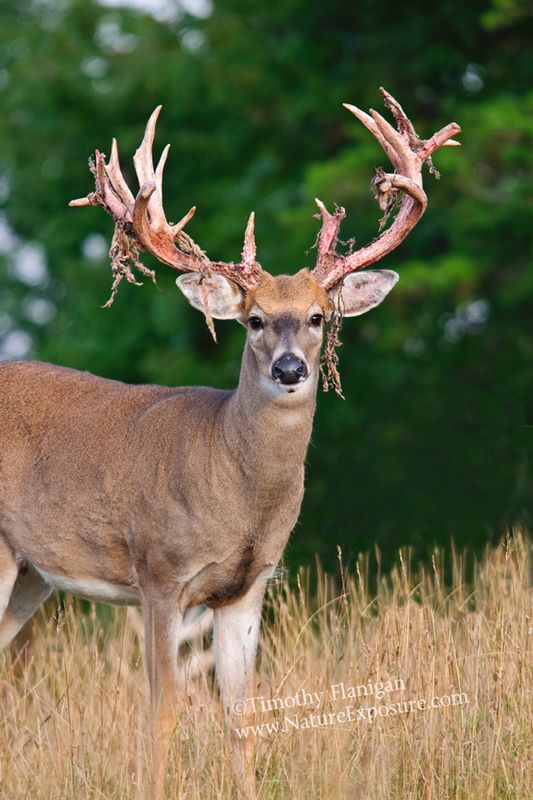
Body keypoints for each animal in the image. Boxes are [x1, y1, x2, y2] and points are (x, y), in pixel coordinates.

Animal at [0, 89, 460, 798]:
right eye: (254, 320)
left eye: (318, 316)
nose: (291, 369)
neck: (233, 488)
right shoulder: (159, 573)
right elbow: (162, 713)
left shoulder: (247, 586)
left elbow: (243, 716)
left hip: (30, 573)